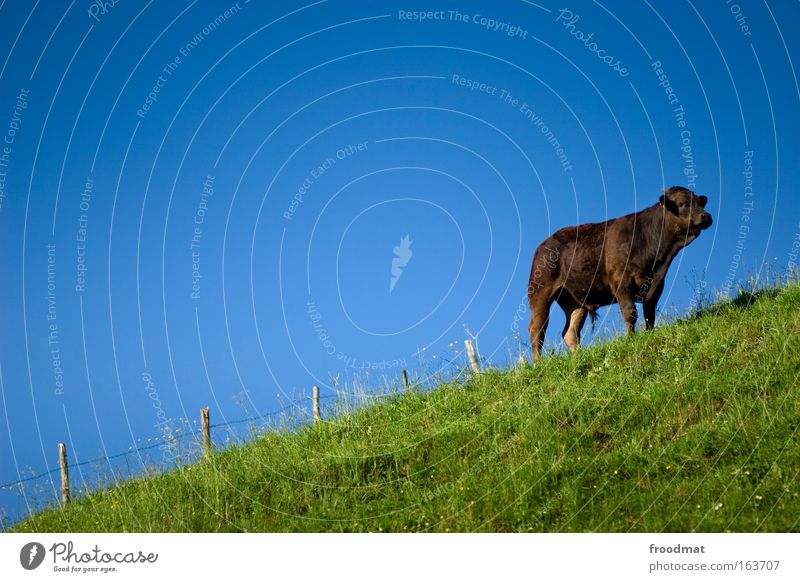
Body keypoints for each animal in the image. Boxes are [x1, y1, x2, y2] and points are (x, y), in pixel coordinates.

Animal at [524, 187, 712, 362]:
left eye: (700, 202)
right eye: (681, 203)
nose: (706, 216)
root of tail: (543, 244)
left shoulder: (656, 285)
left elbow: (649, 314)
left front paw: (649, 334)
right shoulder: (622, 282)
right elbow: (630, 313)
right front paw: (630, 338)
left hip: (574, 301)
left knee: (570, 331)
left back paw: (579, 356)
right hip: (540, 292)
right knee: (537, 328)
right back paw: (538, 363)